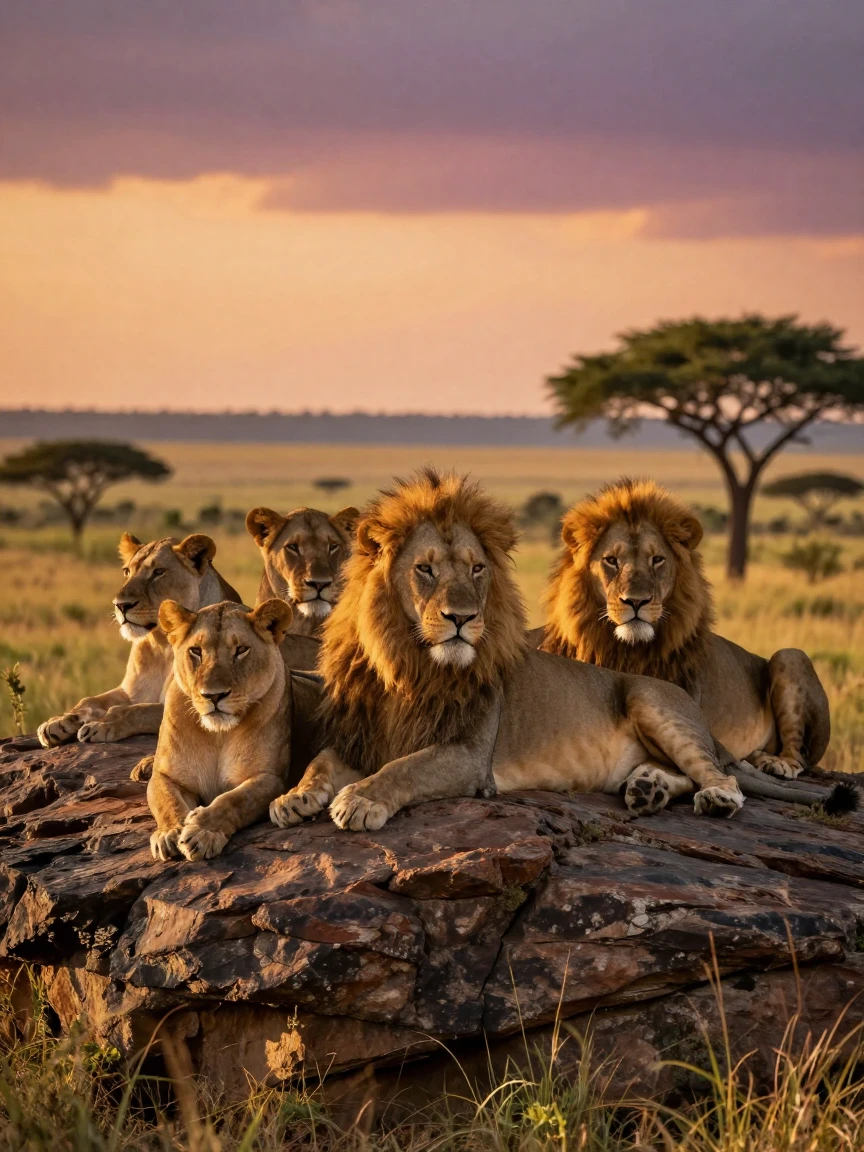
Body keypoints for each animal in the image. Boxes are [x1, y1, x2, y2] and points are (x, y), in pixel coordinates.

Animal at [37, 533, 242, 748]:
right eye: (127, 571)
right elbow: (89, 700)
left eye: (158, 572)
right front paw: (59, 722)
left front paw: (101, 725)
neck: (162, 647)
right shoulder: (129, 692)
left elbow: (137, 710)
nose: (120, 605)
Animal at [148, 598, 294, 861]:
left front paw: (201, 832)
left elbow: (233, 800)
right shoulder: (166, 776)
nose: (213, 695)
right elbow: (168, 802)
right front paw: (170, 834)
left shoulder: (271, 778)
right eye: (196, 651)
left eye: (241, 650)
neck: (218, 735)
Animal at [269, 469, 753, 835]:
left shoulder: (468, 757)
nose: (462, 617)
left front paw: (361, 799)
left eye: (477, 569)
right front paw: (294, 797)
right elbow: (320, 762)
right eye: (424, 569)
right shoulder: (360, 737)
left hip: (652, 703)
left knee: (716, 772)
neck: (409, 664)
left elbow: (404, 768)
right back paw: (647, 788)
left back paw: (714, 798)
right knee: (680, 773)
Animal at [538, 478, 832, 782]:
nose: (636, 601)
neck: (628, 651)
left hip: (790, 655)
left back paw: (778, 763)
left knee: (800, 755)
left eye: (657, 559)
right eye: (611, 560)